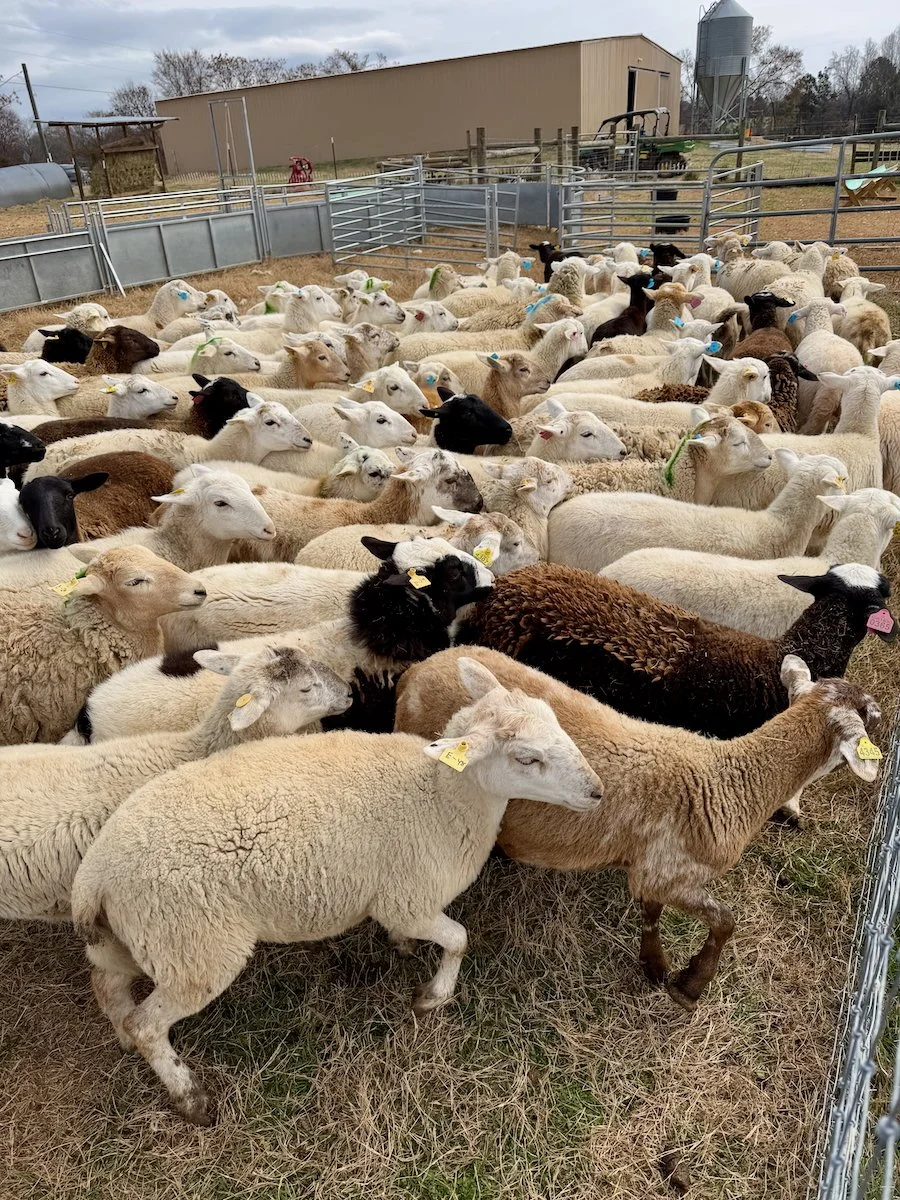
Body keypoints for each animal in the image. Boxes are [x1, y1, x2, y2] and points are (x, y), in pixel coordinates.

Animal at [395, 647, 881, 1008]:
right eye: (870, 715)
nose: (792, 820)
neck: (730, 781)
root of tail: (416, 670)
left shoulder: (651, 866)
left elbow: (650, 911)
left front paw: (654, 965)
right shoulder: (671, 871)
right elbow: (726, 921)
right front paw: (690, 984)